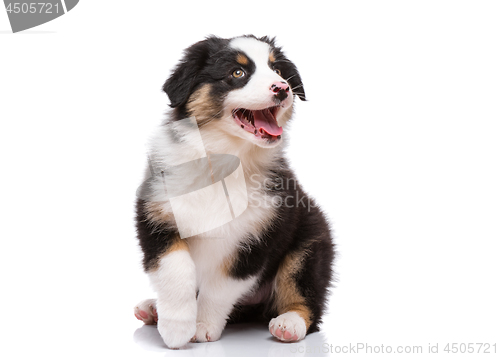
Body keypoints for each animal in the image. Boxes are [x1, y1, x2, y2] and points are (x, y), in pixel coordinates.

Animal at [135, 34, 334, 346]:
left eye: (278, 70)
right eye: (237, 73)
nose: (283, 88)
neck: (226, 160)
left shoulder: (259, 237)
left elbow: (220, 286)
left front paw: (201, 325)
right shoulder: (157, 216)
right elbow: (175, 268)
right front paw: (176, 327)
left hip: (311, 242)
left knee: (304, 294)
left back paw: (289, 324)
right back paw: (153, 308)